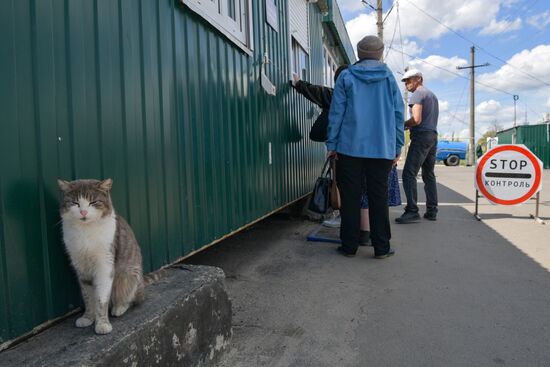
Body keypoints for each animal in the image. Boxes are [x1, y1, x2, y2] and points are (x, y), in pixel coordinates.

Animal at [57, 179, 144, 336]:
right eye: (75, 203)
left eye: (93, 202)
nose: (83, 212)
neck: (85, 231)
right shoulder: (81, 268)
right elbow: (88, 297)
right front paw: (88, 318)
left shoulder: (105, 266)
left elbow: (101, 298)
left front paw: (102, 324)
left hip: (130, 275)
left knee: (132, 298)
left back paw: (119, 308)